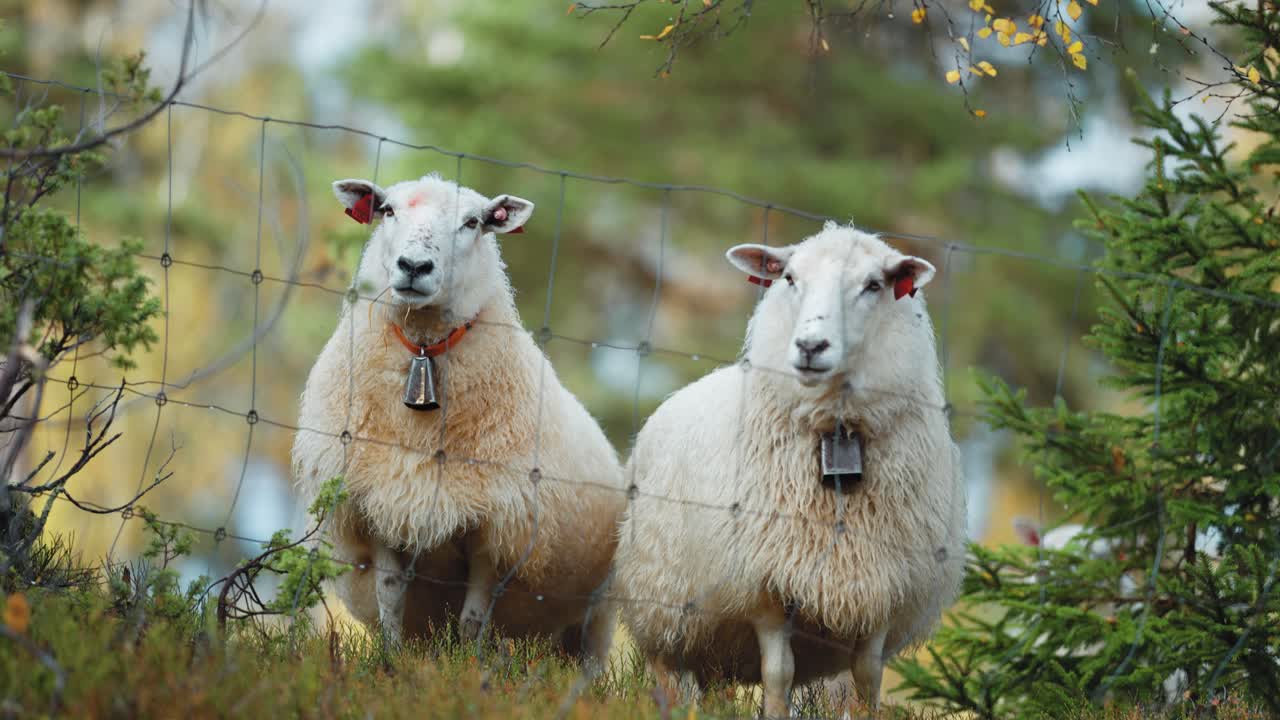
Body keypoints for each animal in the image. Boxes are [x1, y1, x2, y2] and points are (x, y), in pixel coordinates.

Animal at [291, 174, 626, 673]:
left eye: (473, 223)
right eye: (387, 210)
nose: (414, 266)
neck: (423, 349)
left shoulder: (495, 528)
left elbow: (472, 618)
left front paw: (467, 669)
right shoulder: (383, 507)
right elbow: (391, 598)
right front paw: (390, 663)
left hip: (594, 614)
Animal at [609, 222, 967, 717]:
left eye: (874, 284)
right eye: (790, 278)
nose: (811, 346)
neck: (836, 431)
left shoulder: (883, 583)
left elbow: (867, 677)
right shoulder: (766, 583)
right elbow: (779, 674)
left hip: (718, 640)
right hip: (663, 601)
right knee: (667, 672)